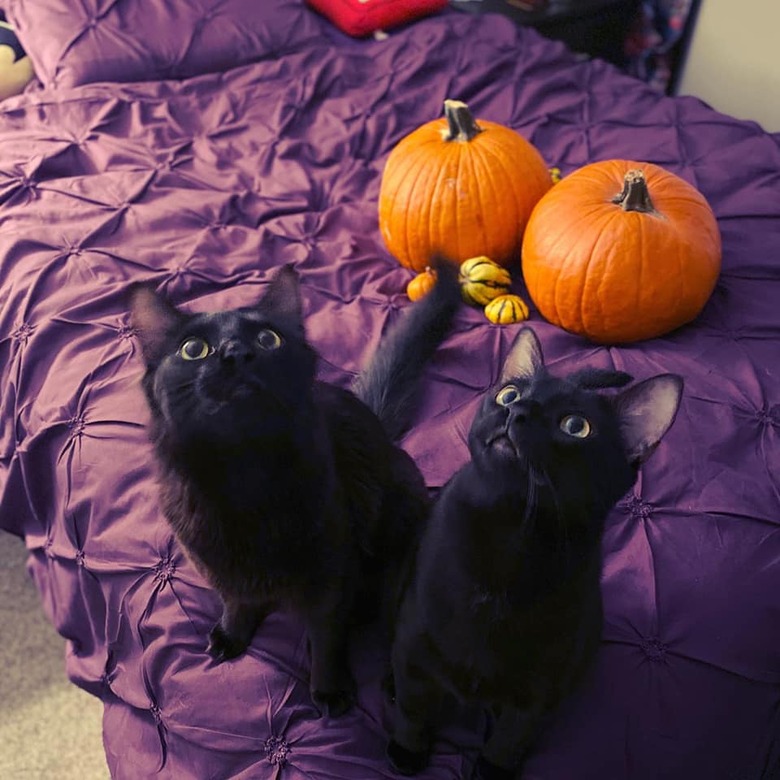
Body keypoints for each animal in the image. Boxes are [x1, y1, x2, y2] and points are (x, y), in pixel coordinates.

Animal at [131, 266, 464, 716]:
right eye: (193, 349)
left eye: (268, 339)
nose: (235, 352)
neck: (243, 474)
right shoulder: (220, 567)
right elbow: (237, 603)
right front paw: (232, 636)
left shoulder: (330, 574)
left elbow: (325, 639)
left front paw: (329, 689)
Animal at [366, 322, 684, 772]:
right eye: (509, 395)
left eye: (576, 426)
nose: (515, 413)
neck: (508, 534)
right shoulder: (415, 640)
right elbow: (414, 707)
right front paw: (407, 753)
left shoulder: (541, 686)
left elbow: (511, 737)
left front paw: (492, 771)